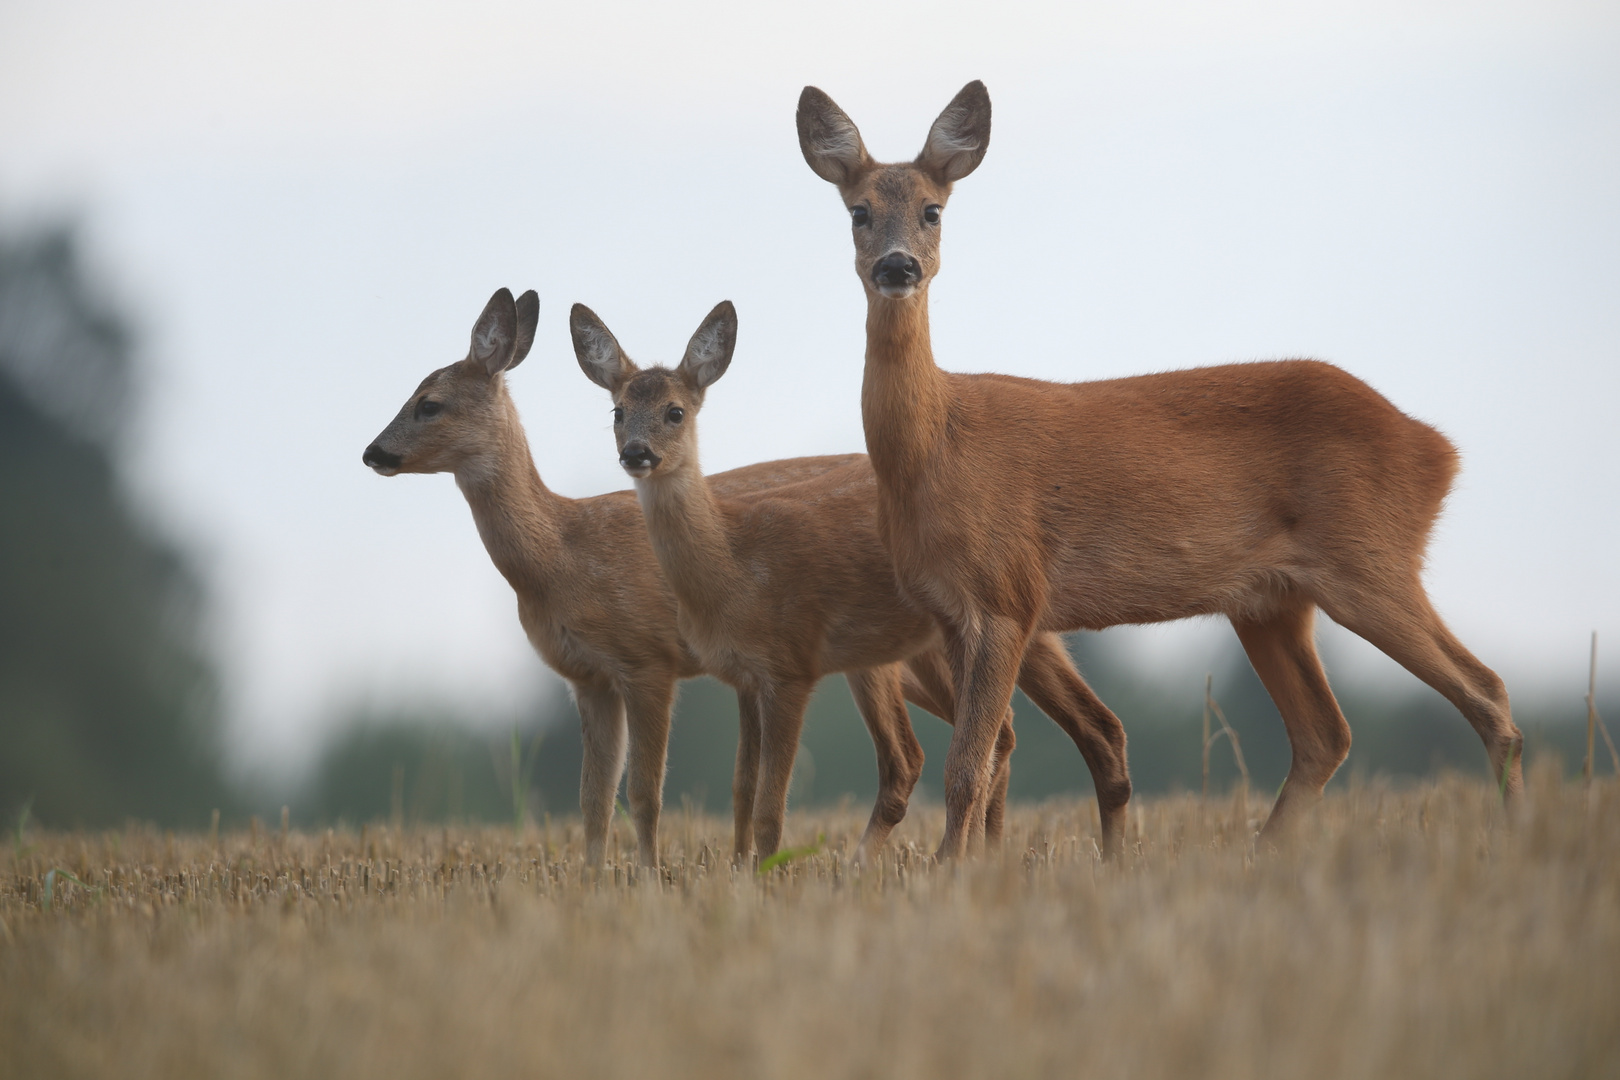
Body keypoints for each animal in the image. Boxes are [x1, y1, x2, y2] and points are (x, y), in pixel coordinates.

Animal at [576, 302, 1134, 861]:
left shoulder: (791, 667)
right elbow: (741, 790)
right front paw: (737, 871)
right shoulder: (744, 675)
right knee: (1037, 731)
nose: (636, 453)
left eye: (675, 412)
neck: (732, 564)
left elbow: (770, 811)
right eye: (617, 412)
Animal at [797, 80, 1516, 854]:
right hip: (1271, 601)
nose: (897, 267)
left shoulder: (1006, 595)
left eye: (934, 209)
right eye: (858, 212)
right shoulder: (953, 612)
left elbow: (969, 766)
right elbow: (983, 758)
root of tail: (1438, 449)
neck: (936, 448)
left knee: (1485, 692)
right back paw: (1262, 855)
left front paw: (954, 872)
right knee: (1326, 732)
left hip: (1371, 559)